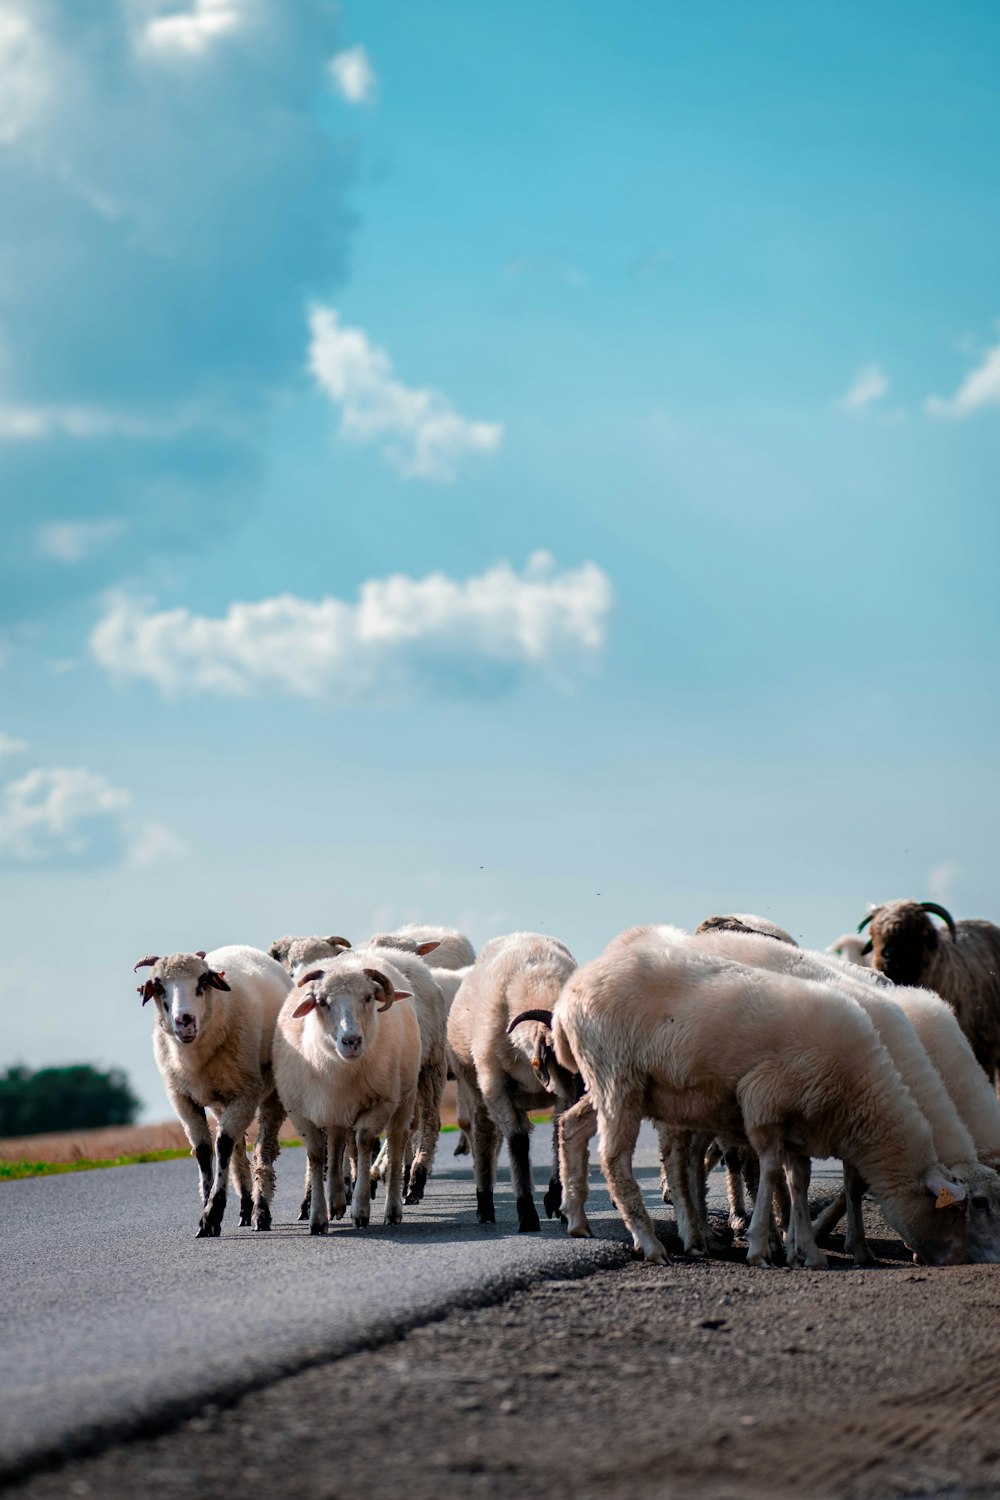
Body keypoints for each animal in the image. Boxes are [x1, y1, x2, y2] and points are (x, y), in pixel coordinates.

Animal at [134, 942, 289, 1236]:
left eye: (203, 980)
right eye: (158, 986)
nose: (184, 1020)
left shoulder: (246, 1093)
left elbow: (223, 1145)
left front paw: (212, 1213)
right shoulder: (182, 1098)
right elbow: (205, 1149)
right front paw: (207, 1210)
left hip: (271, 1093)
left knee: (261, 1150)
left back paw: (260, 1212)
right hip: (221, 1100)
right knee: (239, 1150)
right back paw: (245, 1209)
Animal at [269, 954, 419, 1236]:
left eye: (369, 997)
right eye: (321, 1002)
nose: (351, 1041)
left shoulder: (381, 1103)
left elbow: (363, 1143)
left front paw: (360, 1210)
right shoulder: (301, 1112)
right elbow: (318, 1155)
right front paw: (318, 1217)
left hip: (405, 1097)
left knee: (395, 1145)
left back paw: (392, 1210)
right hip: (335, 1110)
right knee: (337, 1144)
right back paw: (336, 1202)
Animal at [446, 930, 578, 1236]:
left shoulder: (563, 1094)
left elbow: (559, 1132)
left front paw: (556, 1198)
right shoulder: (496, 1085)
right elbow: (518, 1142)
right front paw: (527, 1214)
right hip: (476, 1087)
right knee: (484, 1135)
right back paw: (484, 1204)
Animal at [551, 936, 965, 1266]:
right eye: (966, 1207)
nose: (965, 1257)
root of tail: (566, 998)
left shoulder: (801, 1119)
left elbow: (798, 1179)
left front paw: (804, 1249)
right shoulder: (764, 1100)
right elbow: (772, 1170)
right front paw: (765, 1247)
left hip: (627, 1085)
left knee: (575, 1126)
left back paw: (578, 1218)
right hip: (617, 1076)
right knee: (616, 1159)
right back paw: (652, 1243)